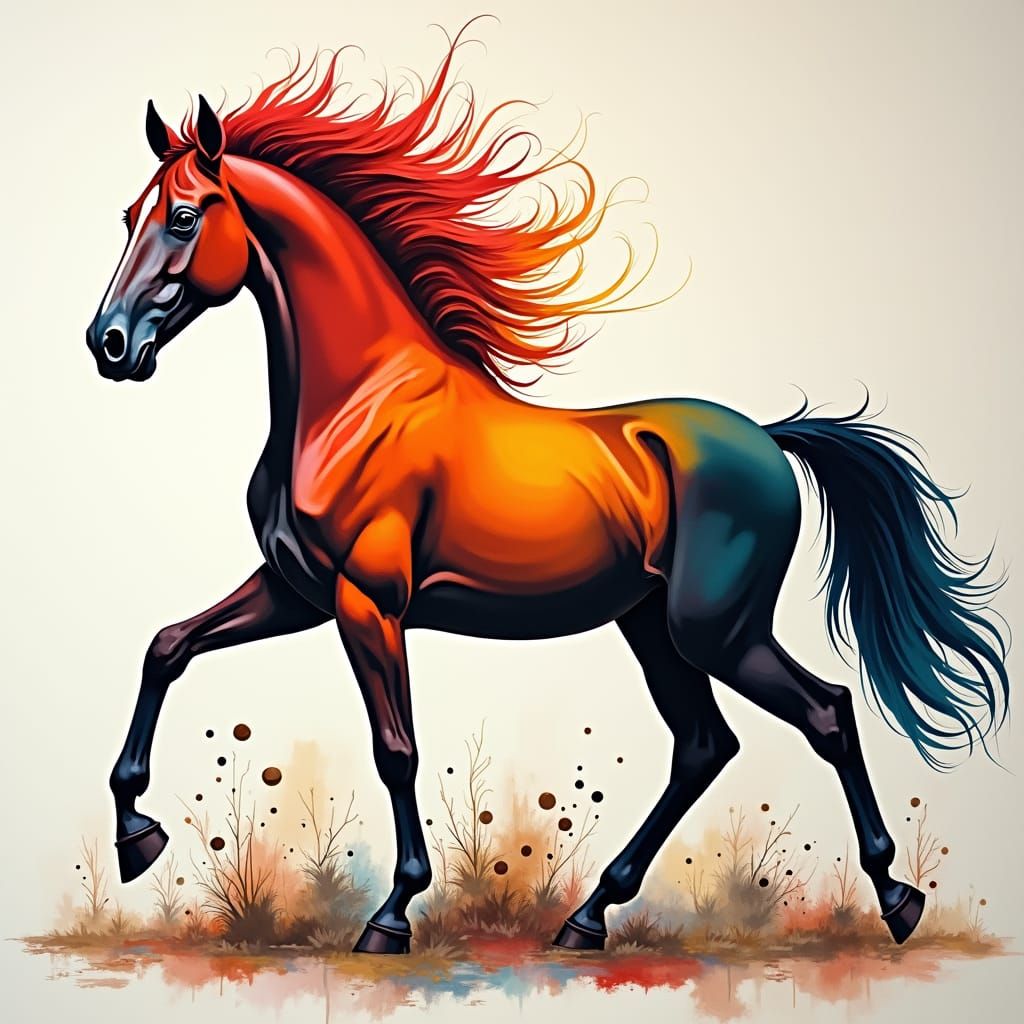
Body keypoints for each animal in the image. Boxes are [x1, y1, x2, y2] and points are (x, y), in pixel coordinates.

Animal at [84, 39, 1009, 955]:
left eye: (185, 217)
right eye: (128, 216)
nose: (109, 344)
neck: (357, 400)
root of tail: (769, 438)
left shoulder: (367, 602)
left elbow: (396, 748)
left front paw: (392, 914)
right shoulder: (296, 588)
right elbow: (167, 646)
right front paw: (137, 835)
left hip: (713, 628)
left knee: (826, 712)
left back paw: (896, 897)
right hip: (651, 623)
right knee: (704, 745)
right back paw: (589, 915)